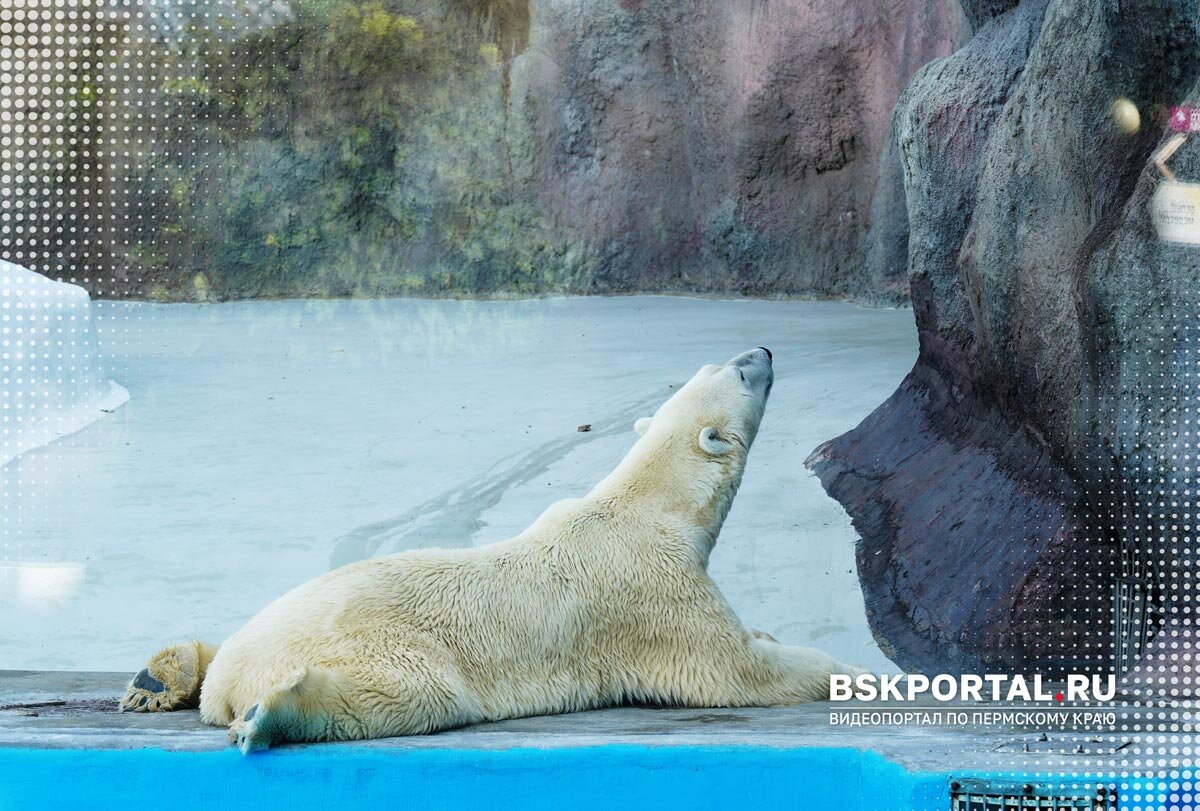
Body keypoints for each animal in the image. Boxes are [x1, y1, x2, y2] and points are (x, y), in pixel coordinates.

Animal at [121, 345, 859, 748]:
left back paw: (159, 676)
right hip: (390, 648)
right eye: (737, 376)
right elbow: (738, 669)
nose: (762, 351)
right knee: (404, 694)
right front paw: (836, 667)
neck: (648, 505)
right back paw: (268, 715)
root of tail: (229, 685)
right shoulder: (656, 595)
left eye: (715, 364)